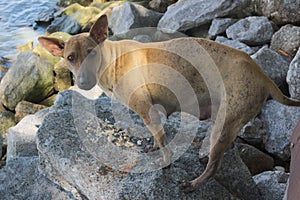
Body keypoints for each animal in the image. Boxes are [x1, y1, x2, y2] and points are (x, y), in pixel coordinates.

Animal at [38, 14, 300, 191]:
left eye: (92, 53)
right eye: (70, 58)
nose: (83, 82)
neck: (113, 59)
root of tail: (262, 74)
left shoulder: (146, 110)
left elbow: (164, 143)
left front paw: (164, 164)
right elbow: (159, 136)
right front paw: (154, 147)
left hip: (226, 122)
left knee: (214, 166)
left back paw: (194, 183)